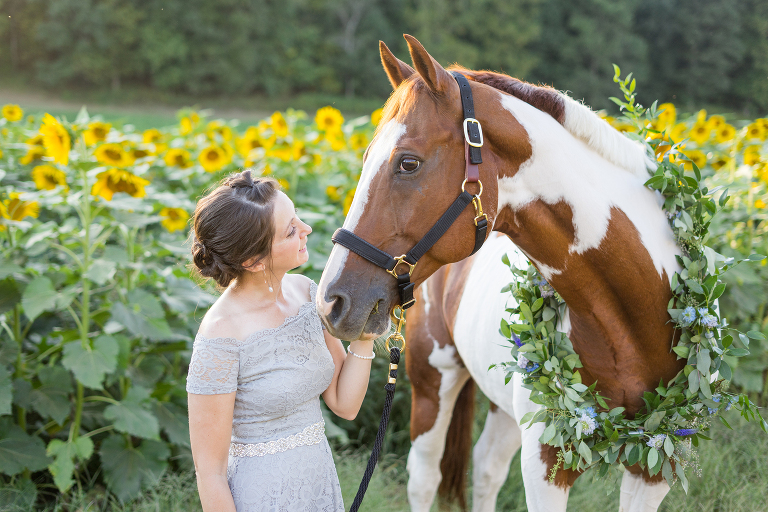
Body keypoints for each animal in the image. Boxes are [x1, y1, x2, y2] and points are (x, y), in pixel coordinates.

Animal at [318, 34, 684, 510]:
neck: (635, 321)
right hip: (433, 382)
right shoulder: (546, 464)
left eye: (408, 163)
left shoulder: (655, 464)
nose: (331, 300)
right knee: (426, 477)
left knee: (487, 468)